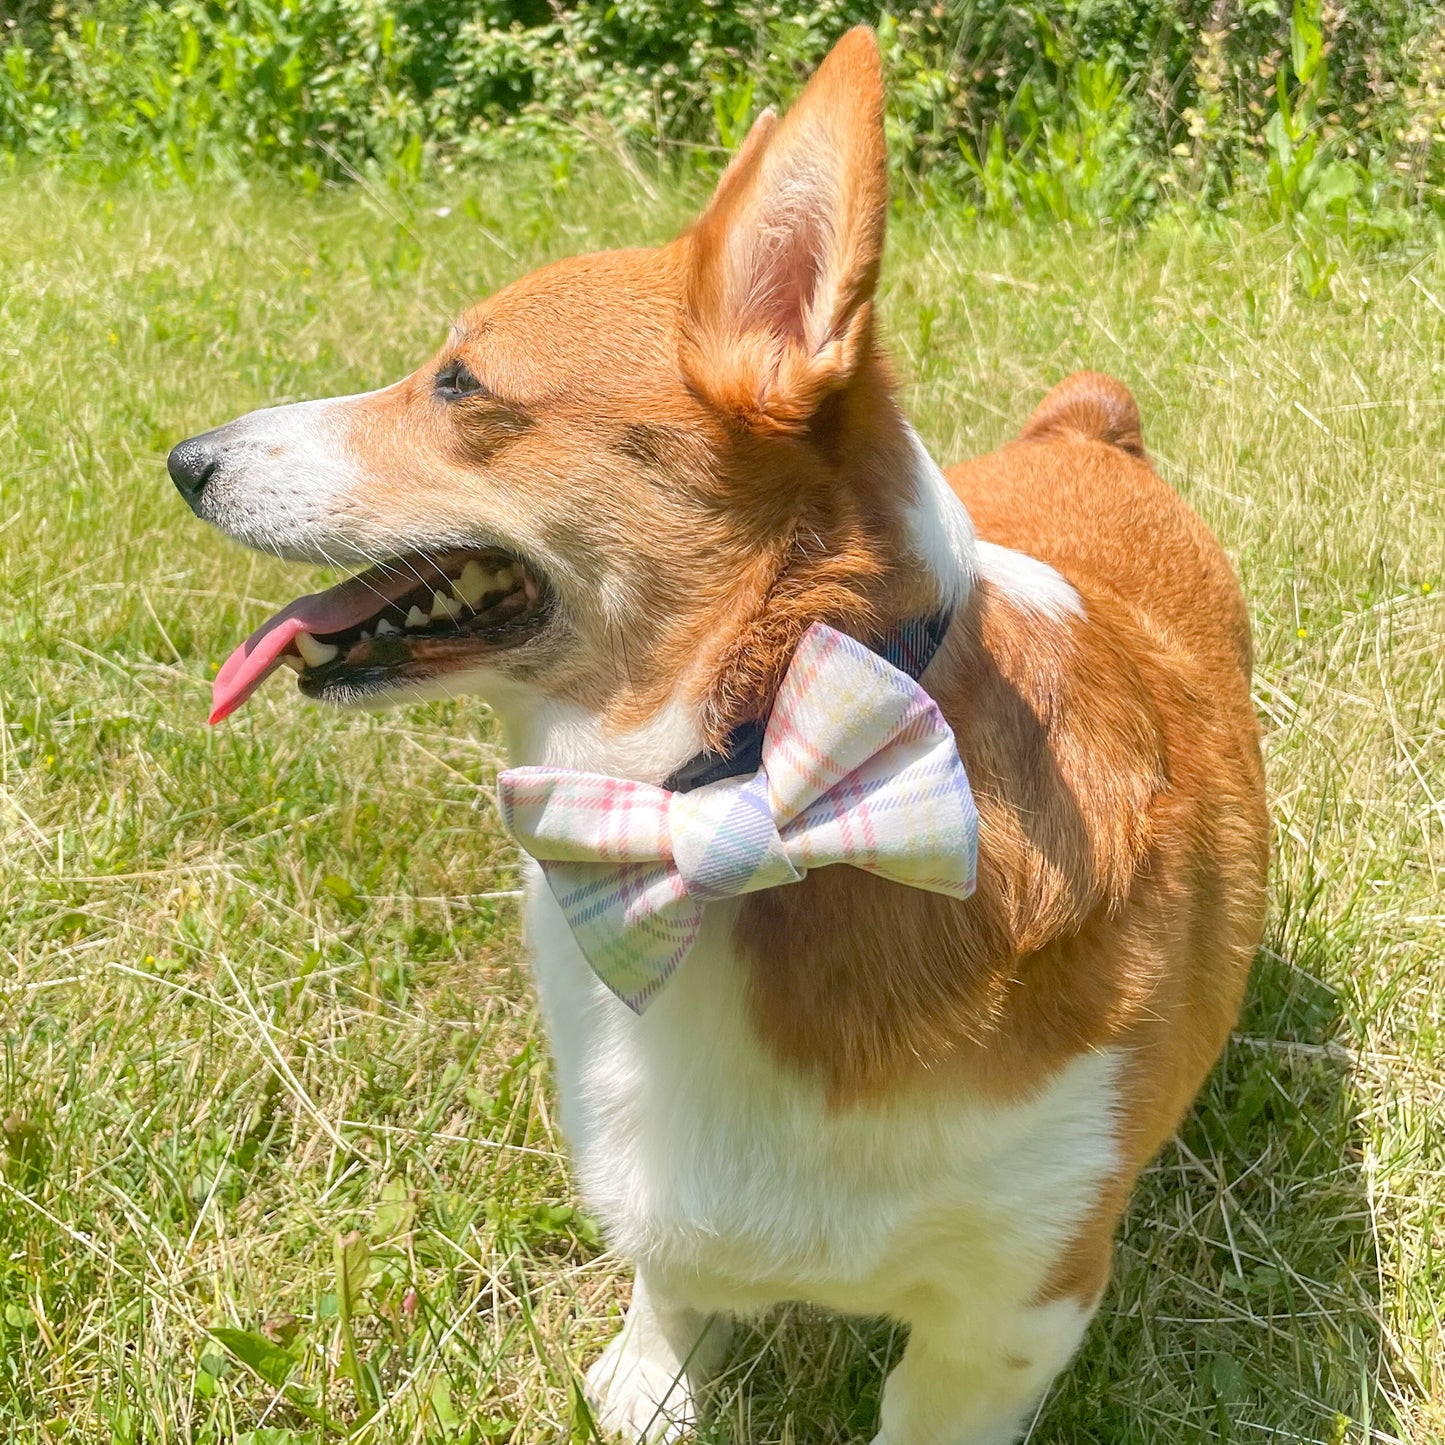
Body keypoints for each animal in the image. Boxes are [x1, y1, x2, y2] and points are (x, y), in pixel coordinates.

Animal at [171, 25, 1265, 1445]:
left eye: (459, 382)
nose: (185, 459)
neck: (728, 788)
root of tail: (1089, 428)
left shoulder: (1010, 1309)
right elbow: (670, 1283)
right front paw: (645, 1387)